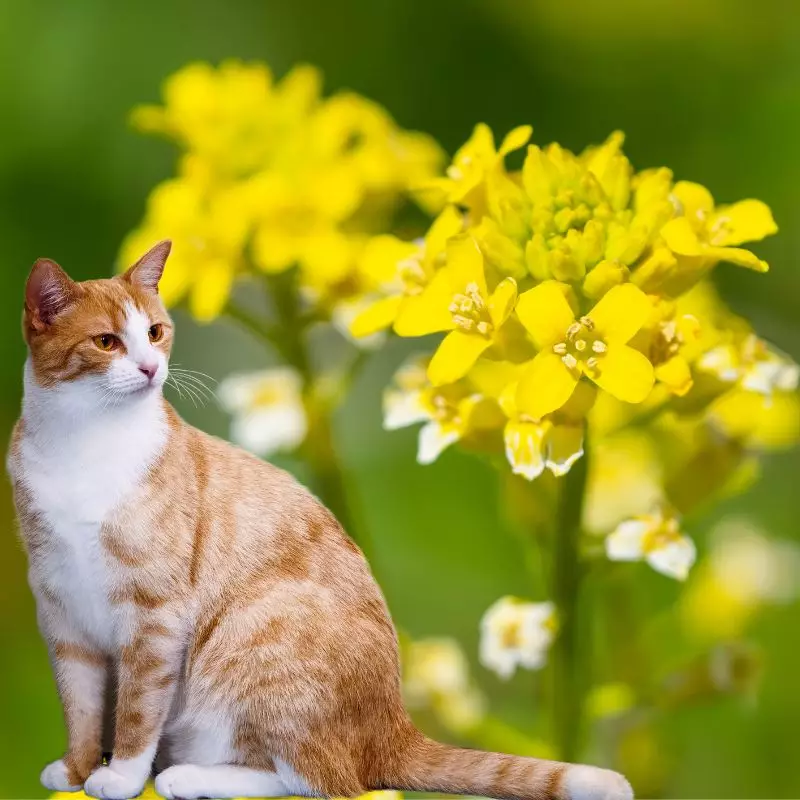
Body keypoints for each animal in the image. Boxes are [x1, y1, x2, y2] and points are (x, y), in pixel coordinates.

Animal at [6, 242, 632, 800]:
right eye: (106, 341)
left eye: (156, 332)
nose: (149, 367)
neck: (85, 444)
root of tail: (395, 728)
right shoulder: (64, 617)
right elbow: (82, 708)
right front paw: (78, 768)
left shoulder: (154, 616)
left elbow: (138, 710)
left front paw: (121, 778)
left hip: (255, 636)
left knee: (321, 779)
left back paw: (187, 777)